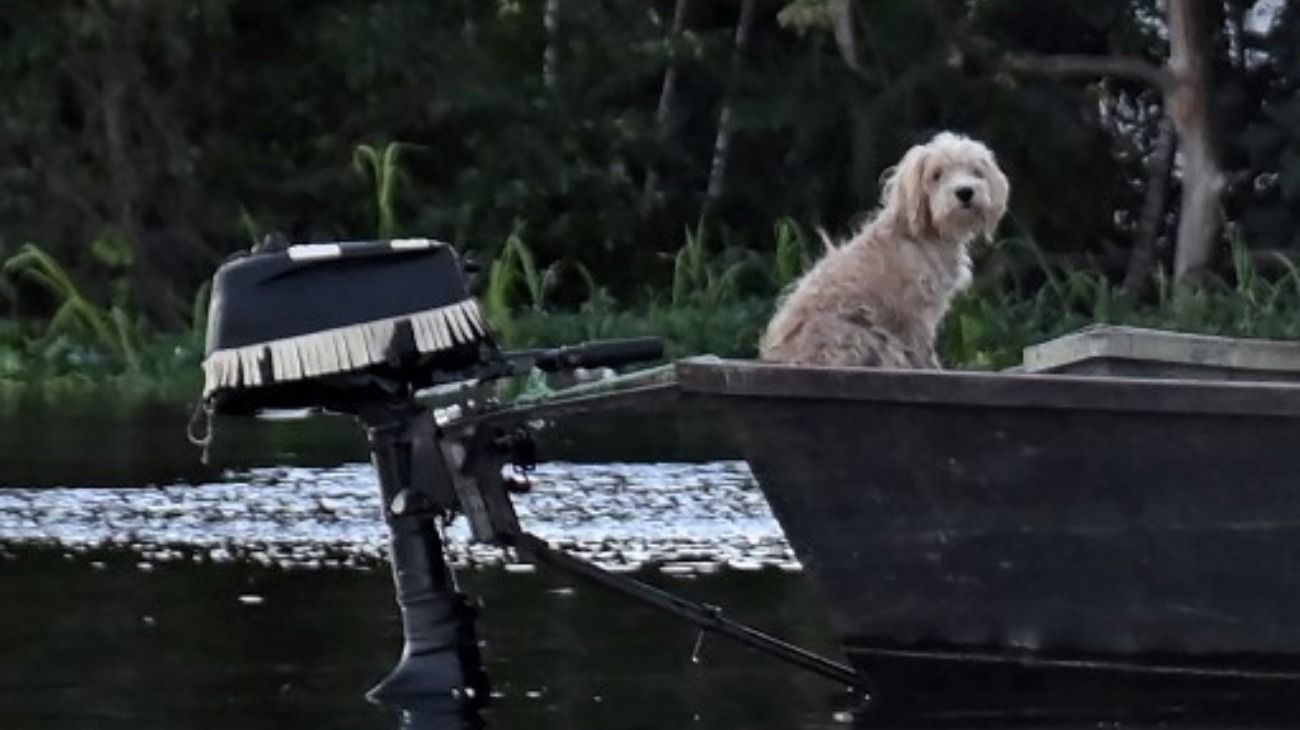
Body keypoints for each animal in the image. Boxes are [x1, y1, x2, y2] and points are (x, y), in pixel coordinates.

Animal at [759, 130, 1008, 366]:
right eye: (936, 175)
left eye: (976, 172)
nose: (965, 192)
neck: (923, 236)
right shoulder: (913, 312)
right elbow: (921, 346)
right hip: (861, 333)